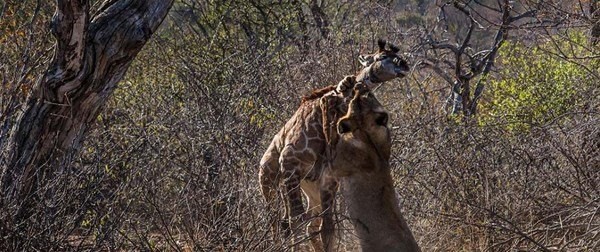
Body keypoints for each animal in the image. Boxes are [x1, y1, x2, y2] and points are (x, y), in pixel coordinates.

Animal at [258, 39, 408, 250]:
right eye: (382, 56)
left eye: (396, 55)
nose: (404, 65)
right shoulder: (290, 164)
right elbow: (297, 221)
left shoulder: (328, 180)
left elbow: (327, 229)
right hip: (269, 181)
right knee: (279, 223)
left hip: (310, 191)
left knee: (306, 225)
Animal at [328, 85, 422, 252]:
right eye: (368, 96)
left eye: (357, 101)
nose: (359, 88)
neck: (367, 135)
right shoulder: (384, 138)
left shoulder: (336, 162)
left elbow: (332, 136)